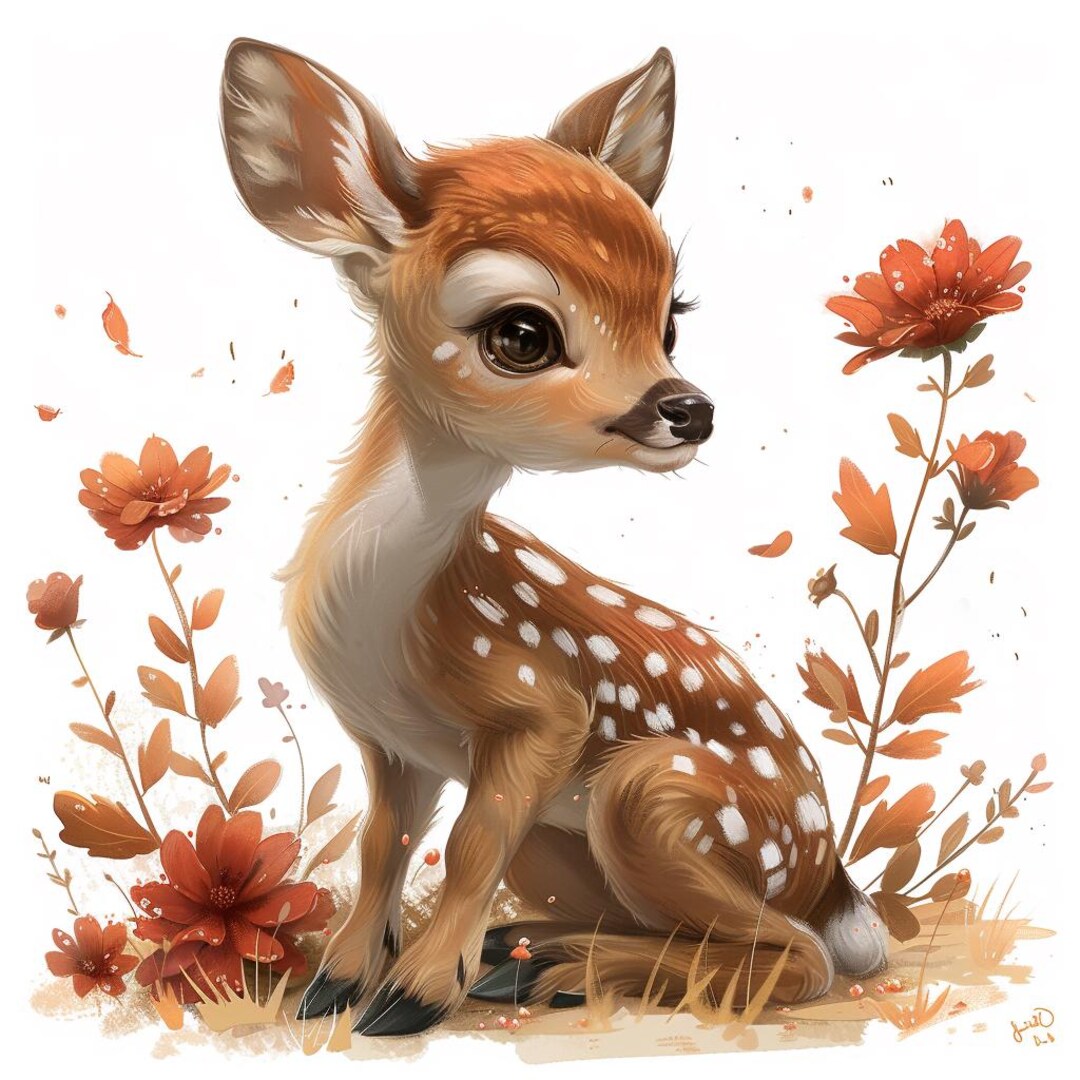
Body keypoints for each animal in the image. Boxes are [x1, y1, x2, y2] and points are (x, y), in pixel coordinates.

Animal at [219, 38, 889, 1037]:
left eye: (671, 318)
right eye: (523, 333)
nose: (688, 409)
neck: (385, 620)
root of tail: (829, 877)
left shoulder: (546, 706)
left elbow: (467, 843)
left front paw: (414, 993)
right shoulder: (387, 741)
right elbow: (383, 844)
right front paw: (337, 981)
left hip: (657, 793)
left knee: (801, 958)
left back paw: (550, 972)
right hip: (573, 839)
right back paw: (526, 952)